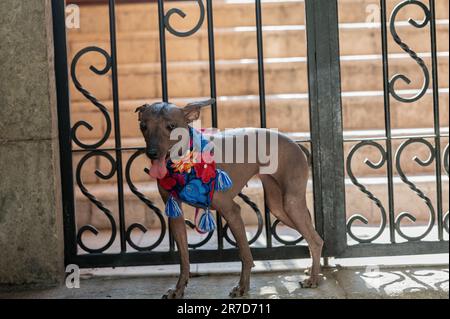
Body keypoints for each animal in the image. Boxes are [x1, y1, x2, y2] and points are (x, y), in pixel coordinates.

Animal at [135, 99, 322, 298]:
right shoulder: (175, 215)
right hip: (278, 207)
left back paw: (314, 278)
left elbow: (245, 255)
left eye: (171, 126)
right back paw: (313, 271)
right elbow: (184, 259)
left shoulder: (232, 211)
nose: (152, 153)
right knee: (313, 237)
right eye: (143, 126)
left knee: (315, 240)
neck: (185, 164)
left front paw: (242, 287)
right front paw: (179, 289)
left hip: (291, 204)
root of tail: (294, 143)